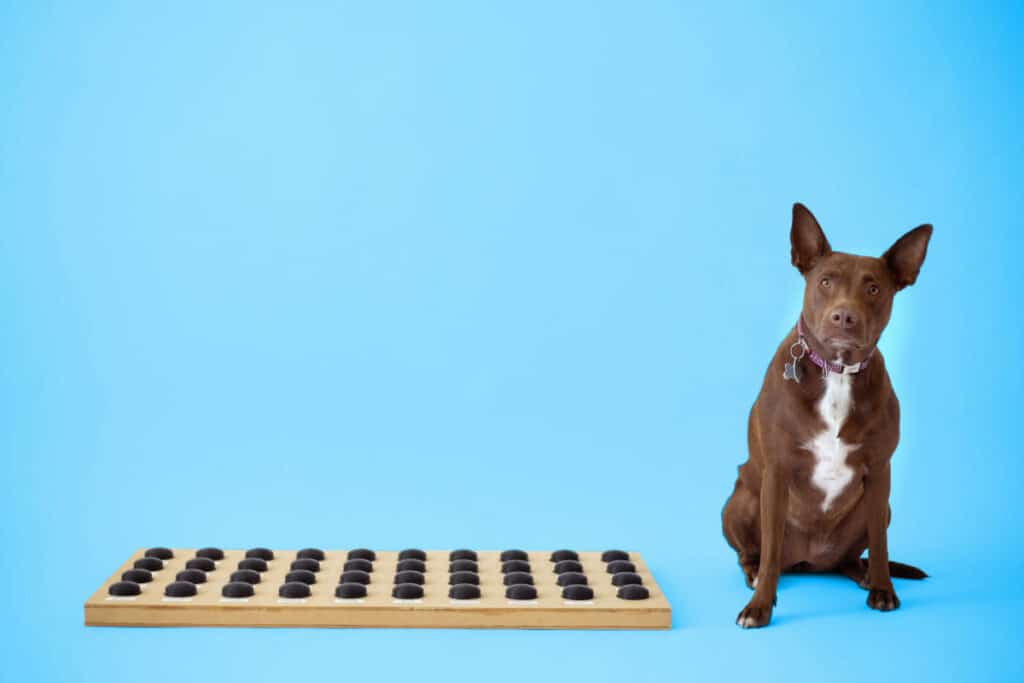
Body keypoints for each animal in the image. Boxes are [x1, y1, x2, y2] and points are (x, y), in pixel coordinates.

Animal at [724, 202, 933, 630]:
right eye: (825, 282)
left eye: (874, 289)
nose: (844, 317)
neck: (836, 372)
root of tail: (811, 561)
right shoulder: (778, 473)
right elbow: (770, 553)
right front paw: (759, 606)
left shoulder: (880, 471)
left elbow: (881, 544)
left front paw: (883, 589)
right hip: (739, 501)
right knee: (756, 554)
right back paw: (753, 571)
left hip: (876, 509)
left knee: (853, 557)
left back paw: (864, 574)